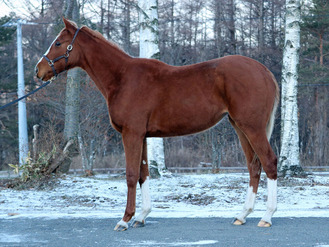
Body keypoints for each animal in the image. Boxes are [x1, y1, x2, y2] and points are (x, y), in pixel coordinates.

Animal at [36, 18, 280, 231]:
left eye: (58, 43)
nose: (39, 70)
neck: (122, 78)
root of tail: (264, 71)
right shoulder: (142, 135)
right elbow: (143, 173)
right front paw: (141, 217)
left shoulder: (131, 134)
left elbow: (131, 174)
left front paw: (125, 220)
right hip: (240, 127)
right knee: (254, 166)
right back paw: (242, 215)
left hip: (252, 127)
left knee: (269, 162)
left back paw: (267, 217)